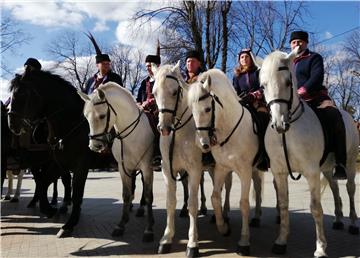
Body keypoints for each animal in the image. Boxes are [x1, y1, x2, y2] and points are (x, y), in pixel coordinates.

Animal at [8, 69, 93, 237]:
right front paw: (49, 209)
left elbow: (77, 193)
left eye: (22, 93)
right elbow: (43, 183)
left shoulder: (81, 165)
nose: (12, 124)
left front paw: (69, 224)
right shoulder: (60, 163)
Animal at [79, 83, 155, 243]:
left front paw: (149, 229)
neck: (131, 134)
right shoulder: (123, 167)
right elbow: (126, 194)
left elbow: (148, 196)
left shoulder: (147, 167)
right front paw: (121, 225)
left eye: (102, 115)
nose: (95, 146)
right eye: (86, 117)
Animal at [187, 67, 268, 255]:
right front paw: (223, 227)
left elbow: (244, 203)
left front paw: (244, 242)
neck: (229, 127)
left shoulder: (245, 171)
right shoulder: (221, 169)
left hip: (258, 170)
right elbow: (215, 197)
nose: (201, 143)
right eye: (191, 110)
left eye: (207, 109)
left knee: (260, 188)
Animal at [258, 48, 358, 258]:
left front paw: (320, 248)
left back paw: (353, 224)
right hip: (327, 169)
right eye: (263, 86)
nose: (279, 124)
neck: (288, 132)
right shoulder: (279, 172)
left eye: (288, 82)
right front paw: (281, 241)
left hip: (351, 163)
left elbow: (316, 208)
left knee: (350, 189)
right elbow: (284, 205)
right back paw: (338, 220)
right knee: (335, 188)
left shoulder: (311, 172)